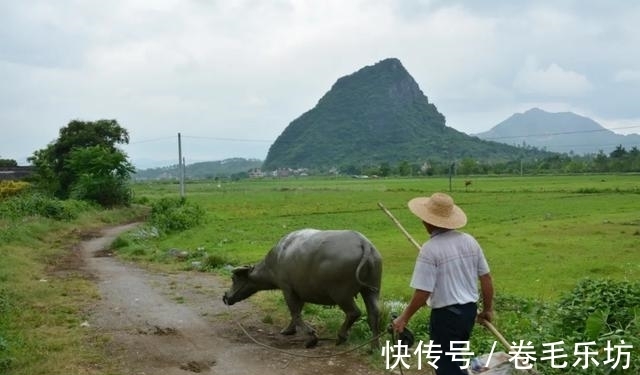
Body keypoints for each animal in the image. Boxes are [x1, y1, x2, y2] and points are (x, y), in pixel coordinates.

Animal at [221, 229, 380, 350]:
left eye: (234, 279)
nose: (225, 297)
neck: (276, 260)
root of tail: (364, 243)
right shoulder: (300, 291)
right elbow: (297, 312)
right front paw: (288, 330)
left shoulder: (287, 289)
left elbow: (295, 313)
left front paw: (311, 337)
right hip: (372, 290)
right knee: (374, 314)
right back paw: (373, 347)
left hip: (341, 294)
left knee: (354, 313)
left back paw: (341, 337)